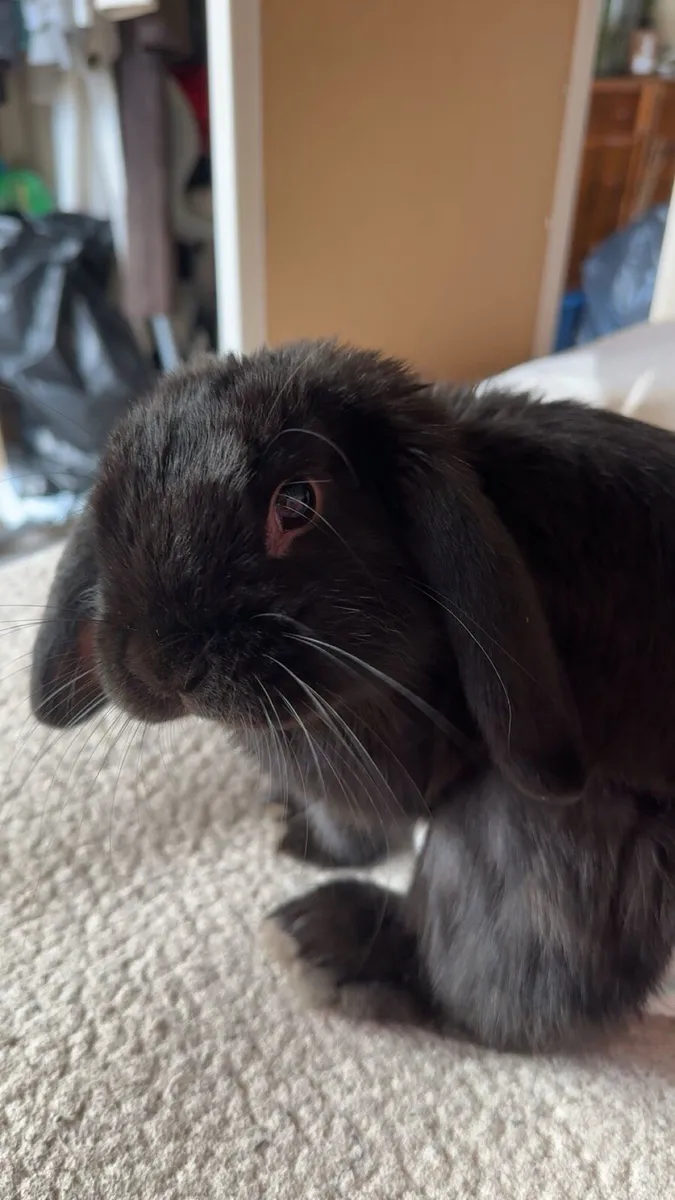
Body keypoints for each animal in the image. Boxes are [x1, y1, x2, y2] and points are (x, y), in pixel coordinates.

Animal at [30, 339, 675, 1051]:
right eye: (108, 505)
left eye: (298, 503)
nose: (160, 664)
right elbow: (349, 825)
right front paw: (293, 826)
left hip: (533, 830)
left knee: (494, 977)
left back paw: (326, 945)